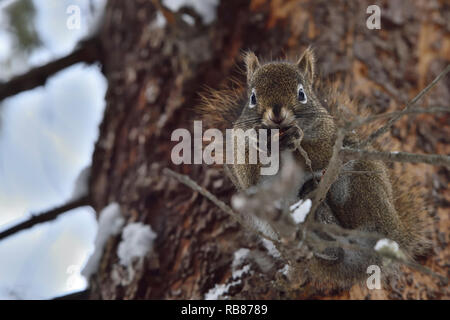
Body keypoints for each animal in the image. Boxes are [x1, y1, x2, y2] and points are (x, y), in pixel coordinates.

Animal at [199, 47, 430, 290]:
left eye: (302, 94)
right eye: (252, 98)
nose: (276, 113)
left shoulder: (330, 137)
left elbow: (323, 154)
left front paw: (296, 139)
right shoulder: (240, 150)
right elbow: (248, 175)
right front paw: (261, 143)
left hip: (362, 184)